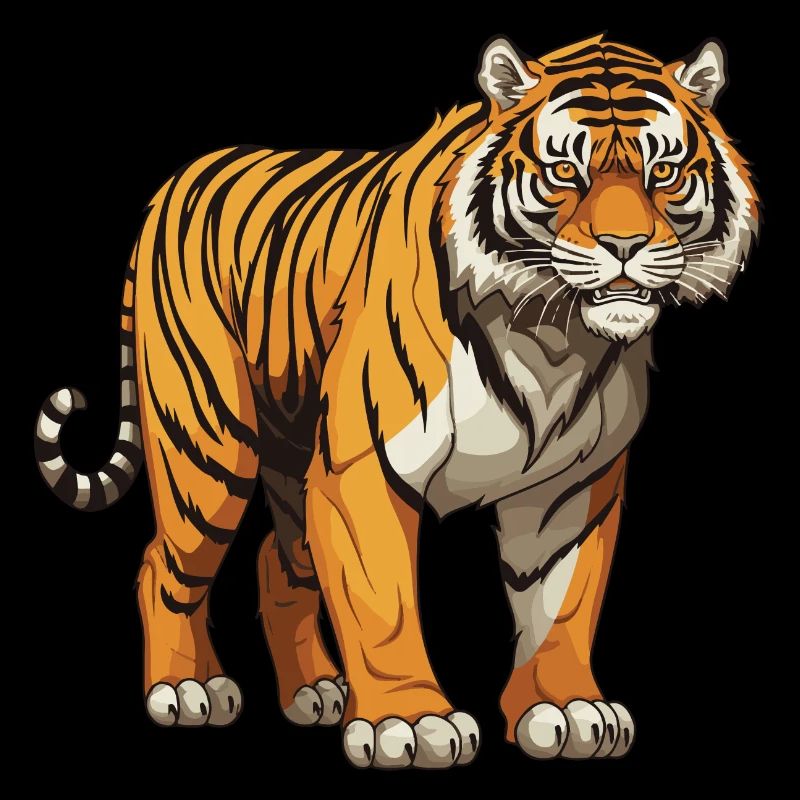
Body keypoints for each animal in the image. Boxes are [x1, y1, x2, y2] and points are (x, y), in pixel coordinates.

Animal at [35, 34, 758, 767]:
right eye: (564, 171)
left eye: (663, 172)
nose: (624, 246)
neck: (553, 338)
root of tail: (176, 180)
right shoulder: (366, 467)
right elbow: (383, 604)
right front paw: (408, 724)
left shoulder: (571, 489)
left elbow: (562, 604)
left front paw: (565, 707)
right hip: (209, 450)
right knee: (165, 564)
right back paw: (186, 690)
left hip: (292, 451)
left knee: (275, 560)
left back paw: (314, 692)